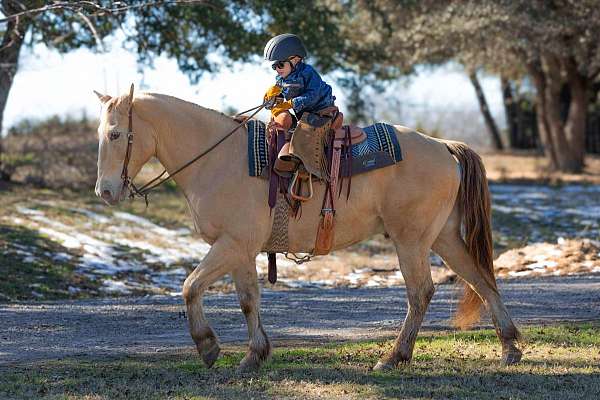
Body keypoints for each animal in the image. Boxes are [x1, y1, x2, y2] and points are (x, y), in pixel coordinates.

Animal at [92, 87, 520, 372]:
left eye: (115, 134)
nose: (106, 191)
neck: (215, 159)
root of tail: (443, 145)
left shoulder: (230, 245)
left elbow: (190, 286)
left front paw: (209, 347)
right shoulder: (240, 250)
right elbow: (248, 300)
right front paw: (254, 355)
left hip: (410, 240)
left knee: (421, 293)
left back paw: (394, 357)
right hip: (444, 237)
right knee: (480, 279)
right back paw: (510, 347)